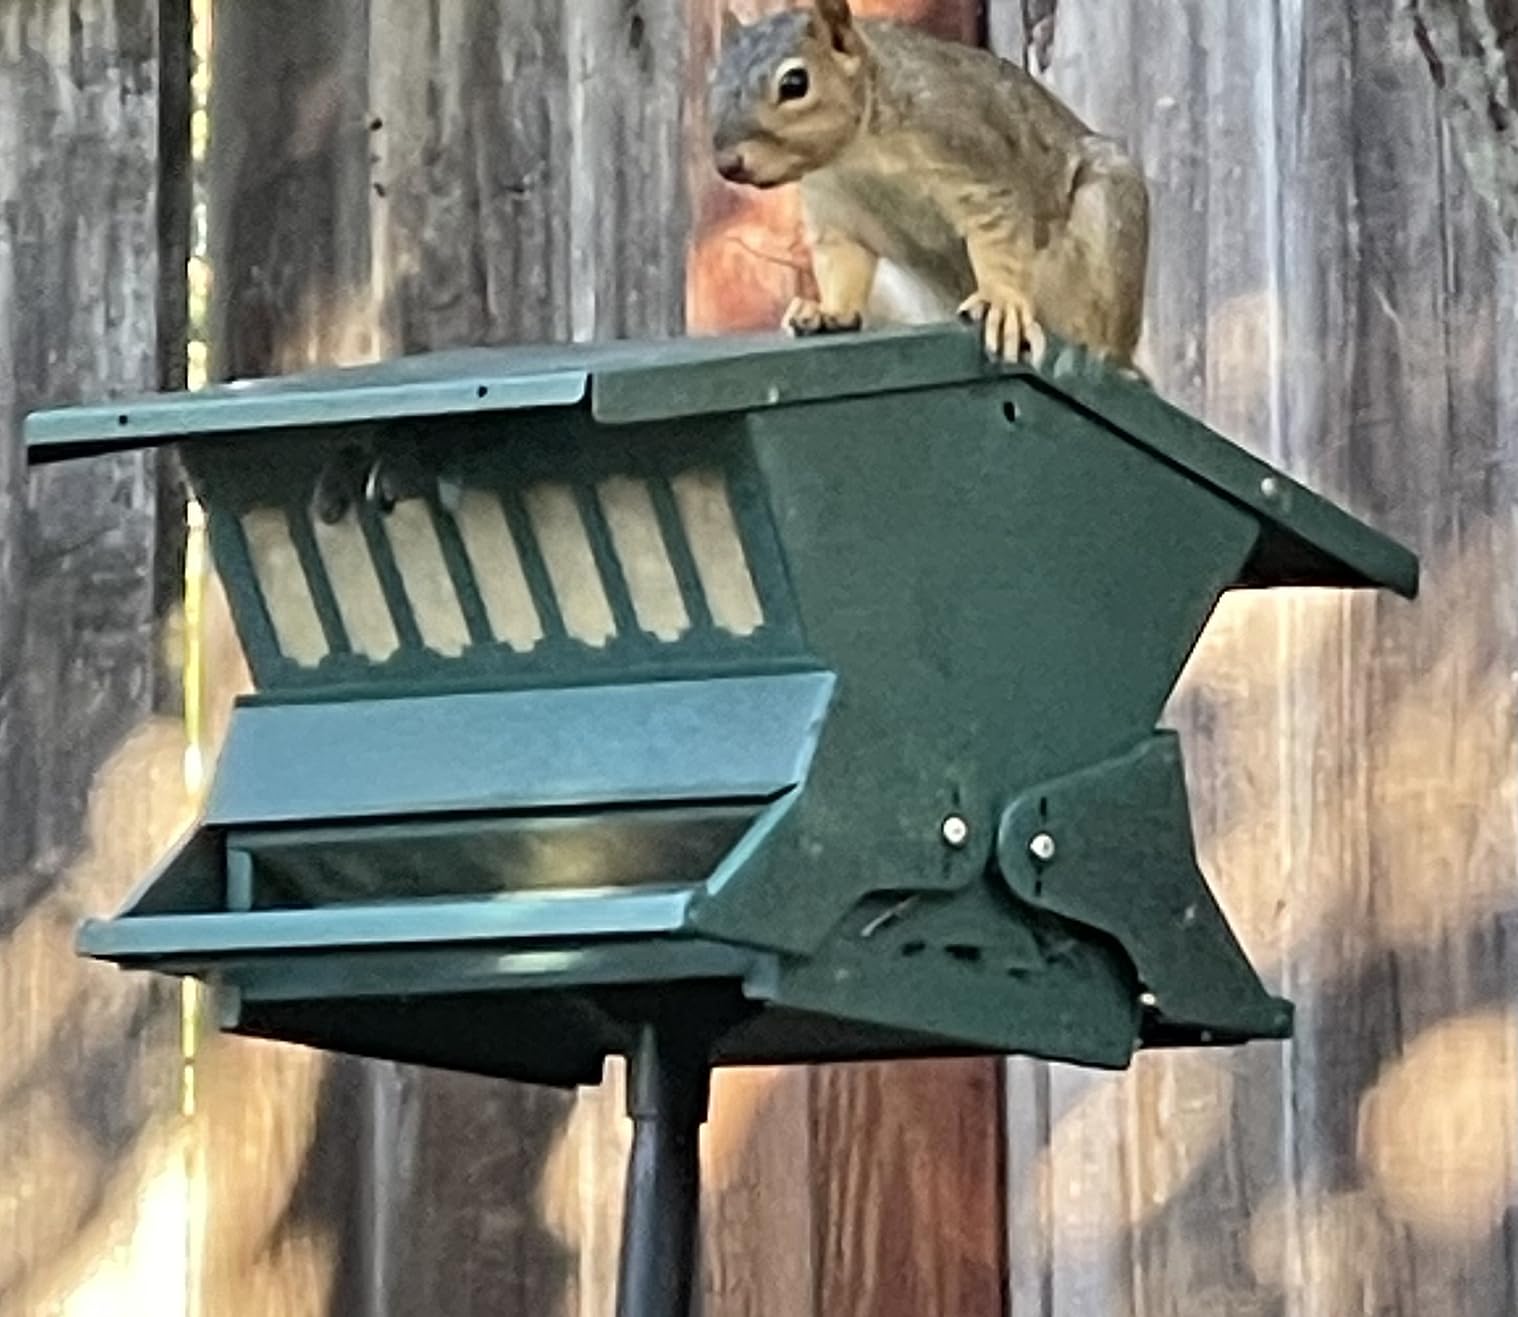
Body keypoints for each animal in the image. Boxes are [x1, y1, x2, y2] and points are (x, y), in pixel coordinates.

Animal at [708, 0, 1149, 374]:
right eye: (712, 83)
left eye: (795, 83)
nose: (727, 164)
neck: (855, 155)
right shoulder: (833, 210)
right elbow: (842, 261)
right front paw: (829, 311)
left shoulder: (972, 157)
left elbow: (998, 237)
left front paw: (1001, 301)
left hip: (1108, 216)